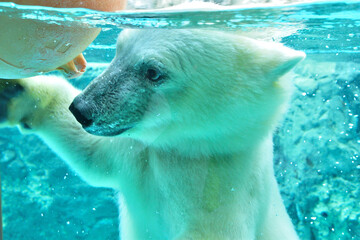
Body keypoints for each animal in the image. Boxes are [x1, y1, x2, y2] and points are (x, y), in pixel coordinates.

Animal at [0, 29, 304, 239]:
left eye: (153, 72)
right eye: (118, 48)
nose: (81, 109)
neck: (196, 150)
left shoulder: (224, 190)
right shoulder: (142, 153)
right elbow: (92, 152)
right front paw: (15, 93)